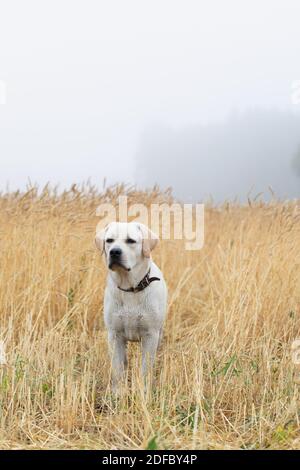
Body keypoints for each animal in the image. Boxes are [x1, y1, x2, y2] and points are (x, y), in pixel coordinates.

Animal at [95, 222, 168, 392]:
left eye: (131, 241)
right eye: (109, 240)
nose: (114, 252)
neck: (130, 287)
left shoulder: (150, 335)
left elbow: (146, 368)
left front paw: (144, 391)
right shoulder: (114, 335)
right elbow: (117, 368)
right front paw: (118, 392)